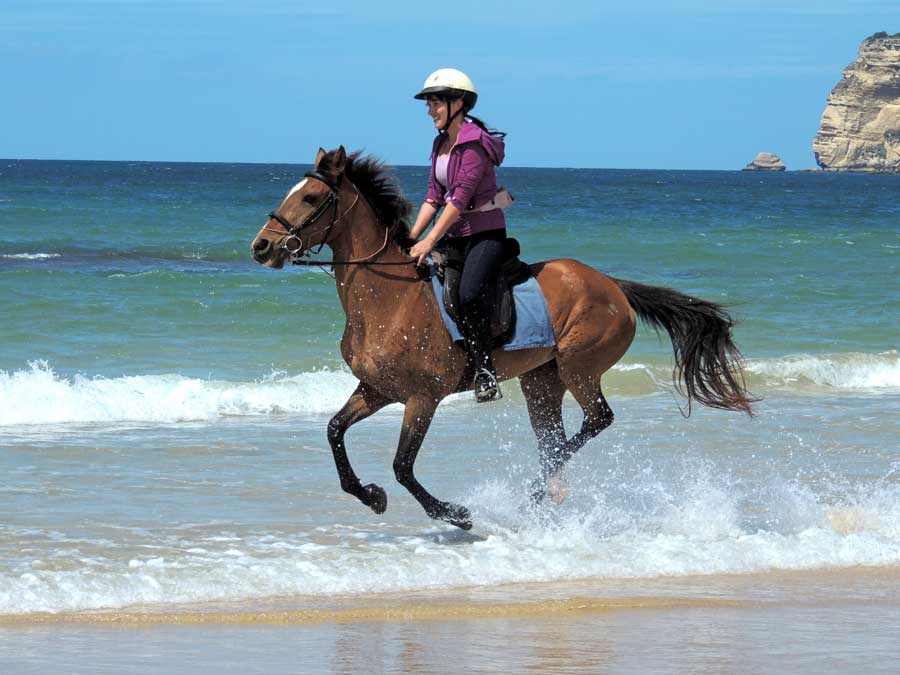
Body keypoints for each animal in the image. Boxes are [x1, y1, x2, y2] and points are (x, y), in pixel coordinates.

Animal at [251, 146, 754, 530]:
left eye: (311, 196)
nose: (261, 246)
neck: (387, 298)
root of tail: (613, 286)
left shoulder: (422, 397)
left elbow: (402, 465)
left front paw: (455, 514)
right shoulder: (377, 389)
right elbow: (335, 430)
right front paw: (370, 495)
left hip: (579, 366)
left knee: (597, 420)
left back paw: (532, 491)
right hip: (541, 381)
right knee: (554, 439)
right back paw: (542, 497)